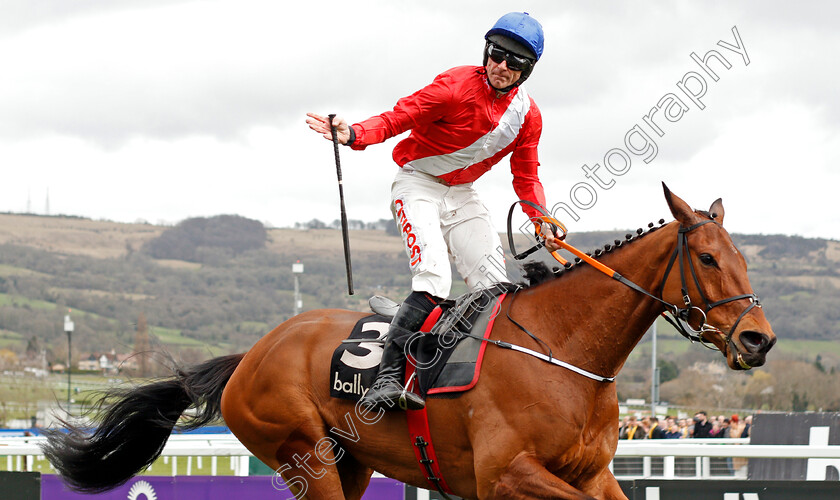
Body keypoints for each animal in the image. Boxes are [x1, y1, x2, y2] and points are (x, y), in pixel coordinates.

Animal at [41, 186, 776, 498]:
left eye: (744, 256)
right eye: (707, 259)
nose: (759, 339)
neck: (564, 352)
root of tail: (251, 354)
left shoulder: (590, 476)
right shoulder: (505, 477)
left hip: (351, 462)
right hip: (301, 452)